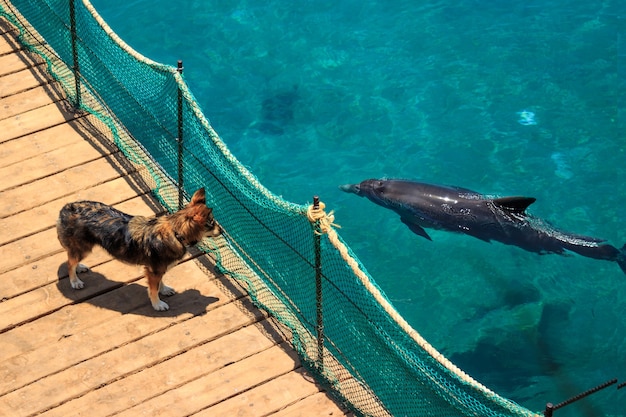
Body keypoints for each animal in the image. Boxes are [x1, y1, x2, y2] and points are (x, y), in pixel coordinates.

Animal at [56, 188, 221, 308]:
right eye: (211, 223)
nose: (222, 231)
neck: (175, 232)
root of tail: (66, 208)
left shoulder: (158, 269)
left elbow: (160, 283)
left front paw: (164, 290)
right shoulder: (154, 271)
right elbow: (153, 289)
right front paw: (157, 304)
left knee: (72, 259)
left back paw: (79, 267)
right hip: (83, 248)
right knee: (70, 263)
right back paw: (75, 281)